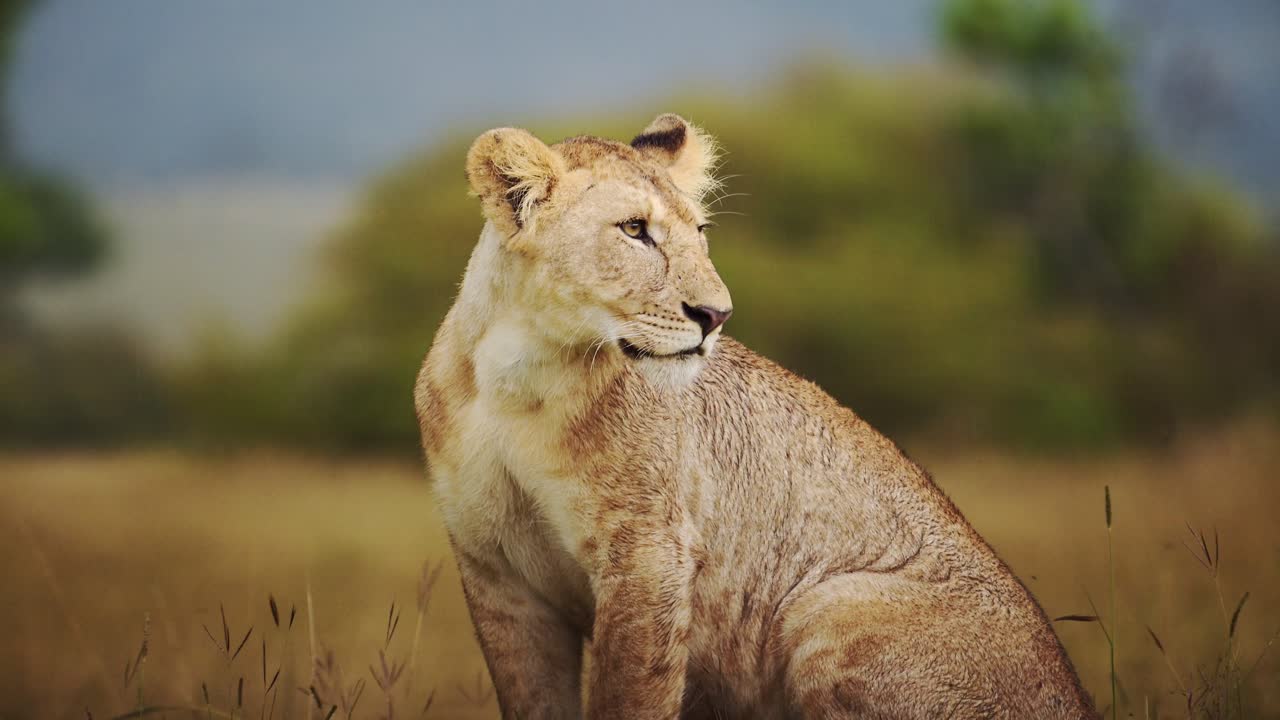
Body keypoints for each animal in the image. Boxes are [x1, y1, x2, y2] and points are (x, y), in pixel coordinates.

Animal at [415, 114, 1096, 719]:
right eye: (634, 229)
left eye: (700, 231)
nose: (716, 315)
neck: (517, 377)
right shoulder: (495, 574)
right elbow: (533, 698)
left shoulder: (649, 554)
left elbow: (629, 698)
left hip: (826, 605)